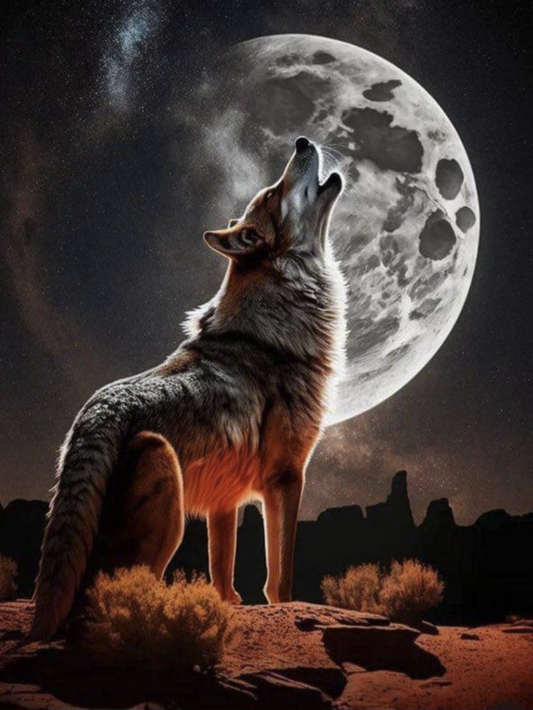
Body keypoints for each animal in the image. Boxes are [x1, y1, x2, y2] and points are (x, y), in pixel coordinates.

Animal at [32, 136, 346, 639]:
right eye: (273, 192)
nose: (300, 141)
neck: (273, 329)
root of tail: (94, 413)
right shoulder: (285, 477)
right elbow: (280, 578)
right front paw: (288, 609)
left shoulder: (225, 502)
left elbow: (223, 572)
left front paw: (226, 607)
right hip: (169, 502)